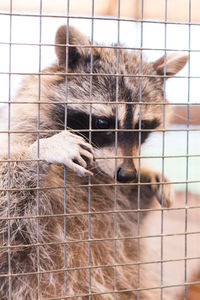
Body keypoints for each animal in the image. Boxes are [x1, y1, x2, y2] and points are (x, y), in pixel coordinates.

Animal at [0, 25, 188, 300]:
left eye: (142, 127)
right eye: (102, 123)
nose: (127, 174)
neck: (94, 170)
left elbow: (131, 216)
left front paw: (146, 174)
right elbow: (7, 205)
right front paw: (40, 150)